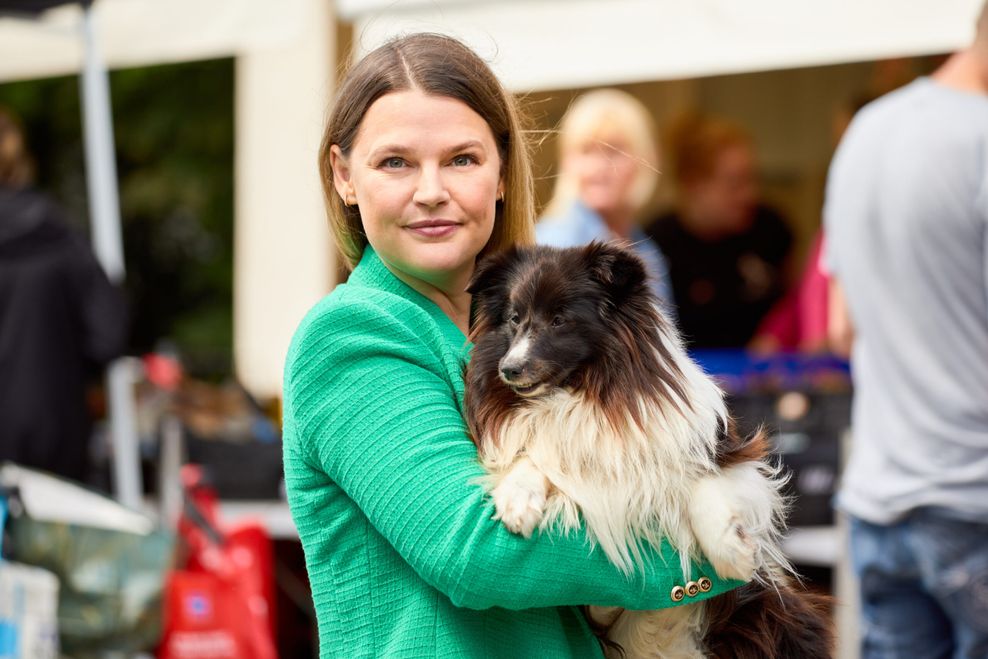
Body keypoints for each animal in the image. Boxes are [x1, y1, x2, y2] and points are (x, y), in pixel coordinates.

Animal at [464, 244, 832, 659]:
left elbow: (705, 488)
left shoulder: (731, 455)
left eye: (559, 320)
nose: (508, 369)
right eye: (514, 319)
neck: (588, 392)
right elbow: (535, 457)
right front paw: (516, 500)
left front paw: (733, 555)